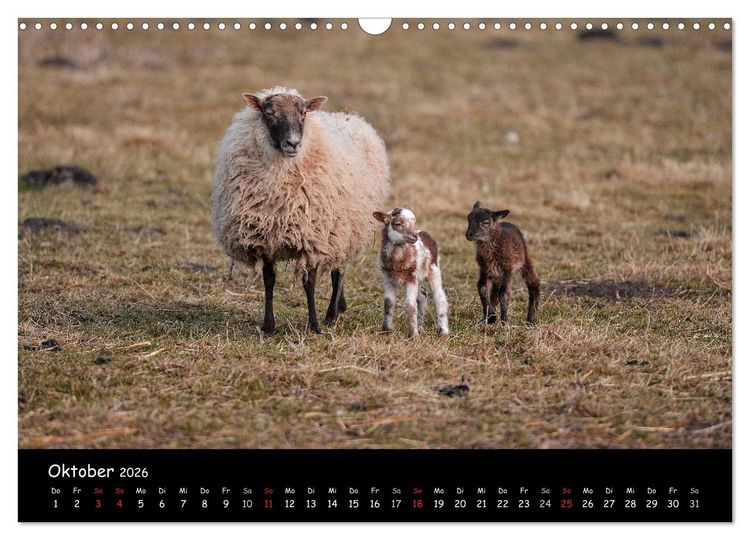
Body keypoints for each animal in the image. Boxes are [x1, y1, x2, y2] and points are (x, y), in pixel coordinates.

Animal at [212, 87, 390, 334]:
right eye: (269, 113)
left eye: (303, 113)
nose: (293, 143)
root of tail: (348, 116)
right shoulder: (266, 238)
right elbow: (269, 280)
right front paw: (268, 326)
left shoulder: (312, 238)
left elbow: (309, 283)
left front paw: (314, 325)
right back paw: (340, 306)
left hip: (344, 231)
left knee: (339, 271)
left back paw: (332, 314)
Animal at [373, 207, 449, 338]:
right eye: (398, 223)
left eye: (414, 223)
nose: (414, 236)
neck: (397, 260)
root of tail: (424, 233)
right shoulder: (388, 278)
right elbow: (388, 303)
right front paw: (386, 331)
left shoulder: (411, 278)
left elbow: (410, 305)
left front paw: (413, 336)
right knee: (422, 296)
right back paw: (420, 328)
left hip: (434, 269)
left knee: (439, 297)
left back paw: (443, 332)